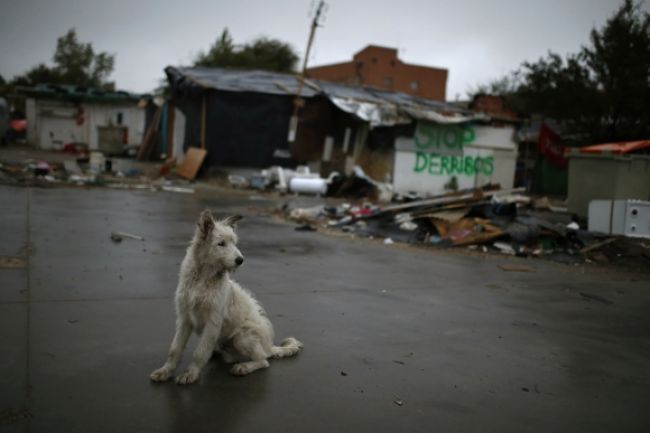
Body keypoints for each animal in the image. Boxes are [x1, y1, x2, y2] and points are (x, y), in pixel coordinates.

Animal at [149, 210, 302, 384]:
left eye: (235, 243)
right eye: (221, 243)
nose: (240, 260)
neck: (202, 278)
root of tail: (269, 346)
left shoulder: (213, 322)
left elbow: (200, 352)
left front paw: (190, 374)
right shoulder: (184, 318)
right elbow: (175, 348)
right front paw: (165, 371)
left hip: (242, 336)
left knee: (263, 360)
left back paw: (244, 367)